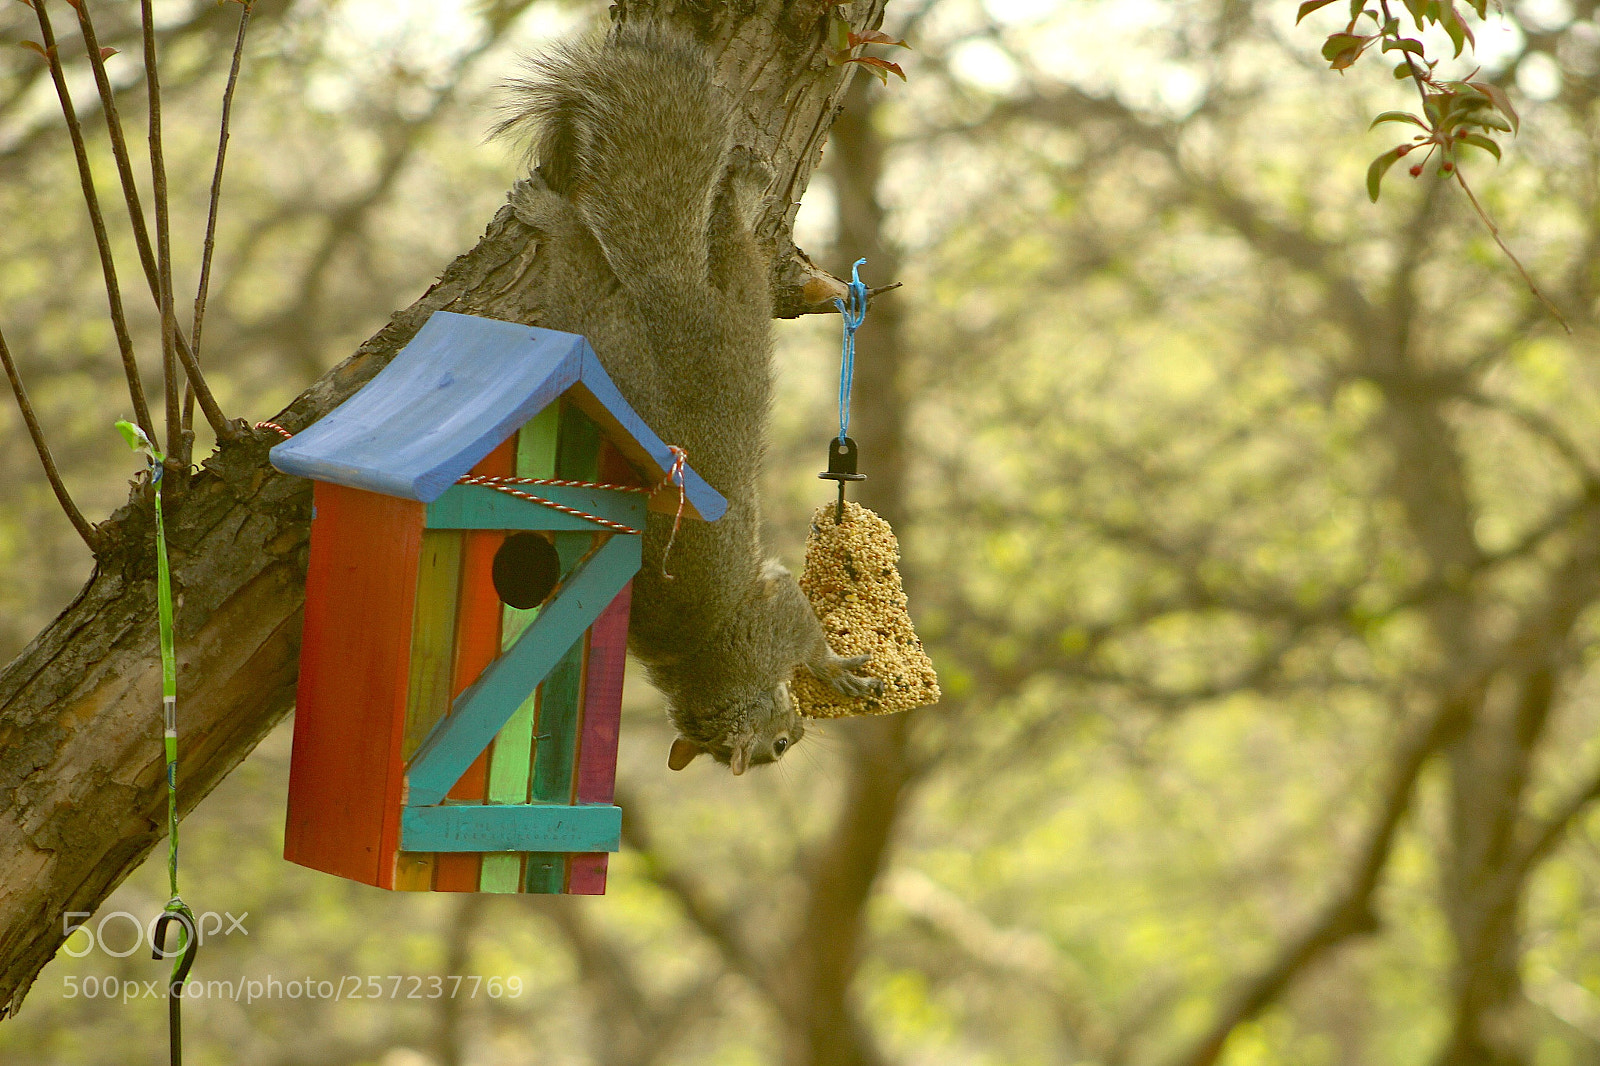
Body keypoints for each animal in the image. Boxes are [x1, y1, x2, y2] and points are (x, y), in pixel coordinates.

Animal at [494, 22, 882, 775]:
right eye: (775, 747)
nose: (795, 738)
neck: (707, 668)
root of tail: (663, 292)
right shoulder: (772, 615)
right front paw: (829, 673)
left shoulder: (771, 614)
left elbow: (805, 631)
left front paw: (832, 669)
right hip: (689, 329)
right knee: (717, 250)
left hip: (687, 330)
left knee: (718, 246)